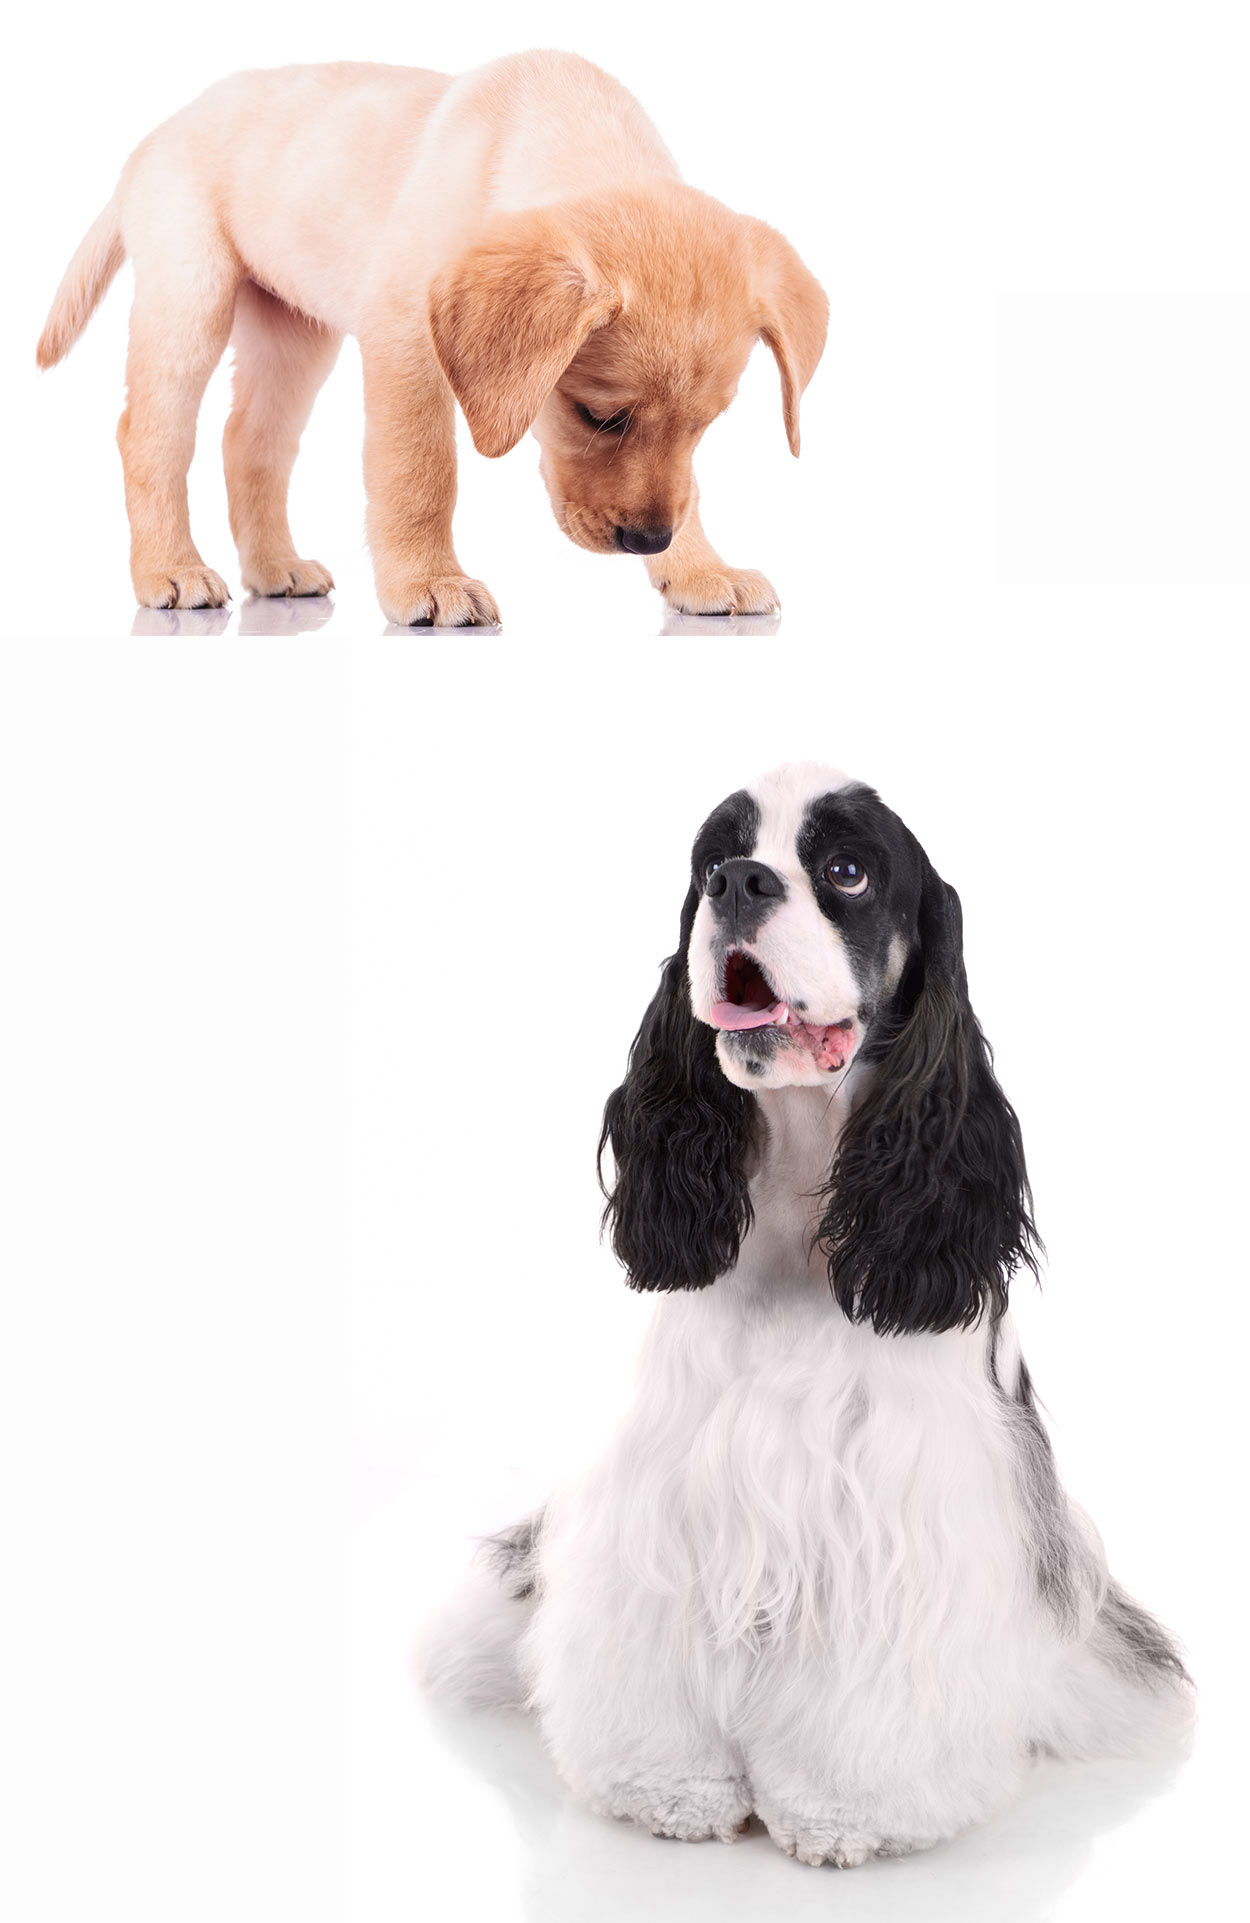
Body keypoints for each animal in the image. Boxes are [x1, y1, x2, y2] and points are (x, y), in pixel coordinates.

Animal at [36, 52, 826, 623]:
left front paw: (699, 570)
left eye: (705, 427)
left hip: (295, 332)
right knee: (151, 436)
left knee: (250, 443)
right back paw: (168, 568)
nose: (648, 542)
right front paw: (430, 582)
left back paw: (275, 570)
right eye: (599, 416)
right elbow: (419, 471)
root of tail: (156, 134)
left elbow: (689, 489)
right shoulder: (405, 340)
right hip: (191, 296)